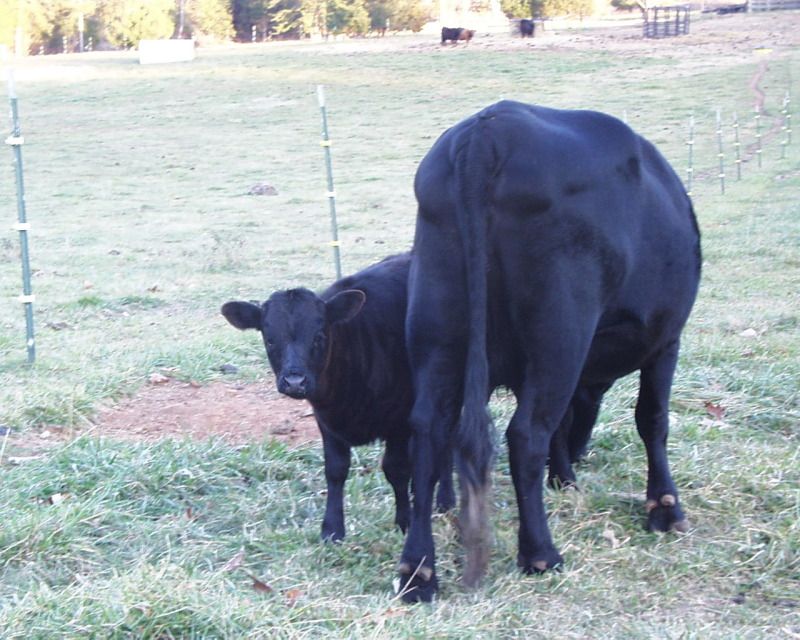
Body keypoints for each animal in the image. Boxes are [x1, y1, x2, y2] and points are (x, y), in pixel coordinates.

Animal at [221, 254, 455, 543]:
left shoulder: (401, 419)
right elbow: (335, 470)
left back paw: (445, 499)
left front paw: (406, 521)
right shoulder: (326, 420)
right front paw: (332, 529)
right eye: (270, 340)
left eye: (319, 336)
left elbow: (396, 469)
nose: (295, 382)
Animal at [396, 100, 701, 602]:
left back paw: (418, 570)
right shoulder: (665, 338)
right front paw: (665, 507)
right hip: (560, 329)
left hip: (435, 321)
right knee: (525, 434)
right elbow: (653, 420)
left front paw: (565, 477)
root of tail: (489, 129)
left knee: (428, 430)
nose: (577, 459)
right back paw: (540, 552)